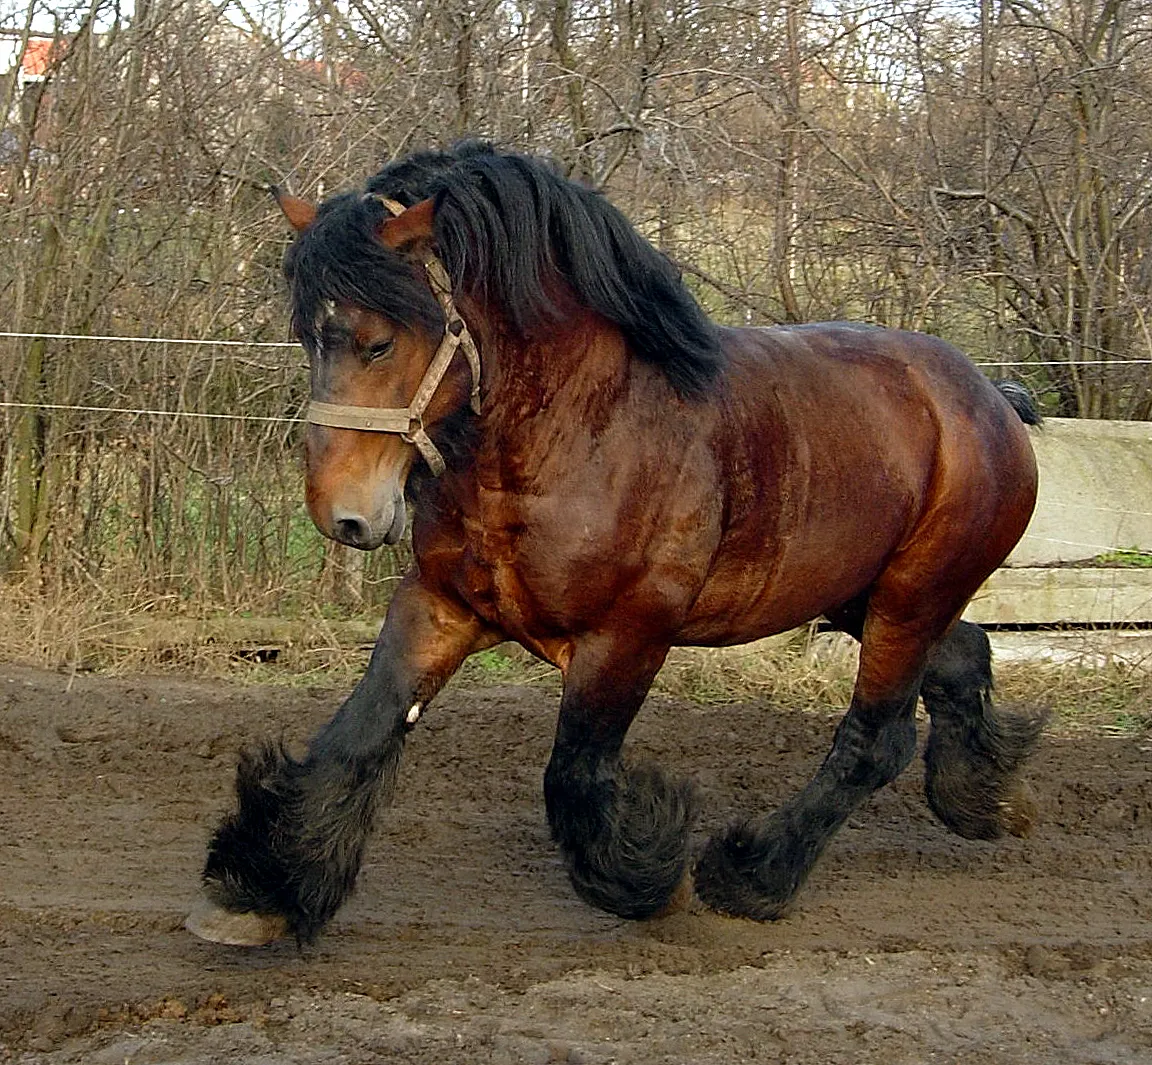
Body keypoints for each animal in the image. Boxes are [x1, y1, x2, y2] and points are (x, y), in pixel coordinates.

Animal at [186, 142, 1044, 947]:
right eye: (308, 337)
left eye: (376, 342)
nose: (343, 514)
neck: (573, 436)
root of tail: (990, 398)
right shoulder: (442, 604)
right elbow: (357, 735)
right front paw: (262, 891)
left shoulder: (626, 635)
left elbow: (572, 776)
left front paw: (651, 875)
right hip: (860, 597)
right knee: (963, 658)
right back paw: (987, 797)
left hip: (910, 596)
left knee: (876, 738)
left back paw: (754, 875)